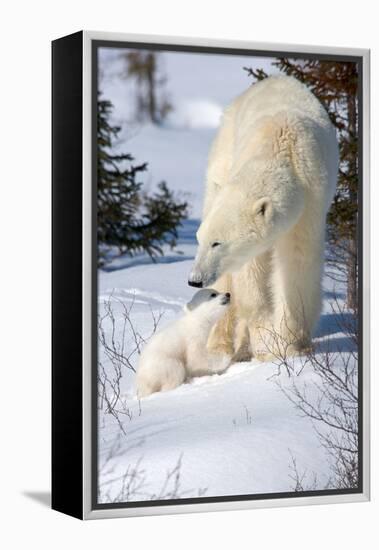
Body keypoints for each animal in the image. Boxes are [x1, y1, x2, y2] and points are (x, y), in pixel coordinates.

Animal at [189, 77, 340, 362]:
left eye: (217, 242)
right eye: (199, 239)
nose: (194, 279)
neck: (282, 146)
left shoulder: (311, 202)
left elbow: (297, 264)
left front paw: (290, 344)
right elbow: (250, 274)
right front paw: (266, 342)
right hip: (223, 153)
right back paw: (221, 346)